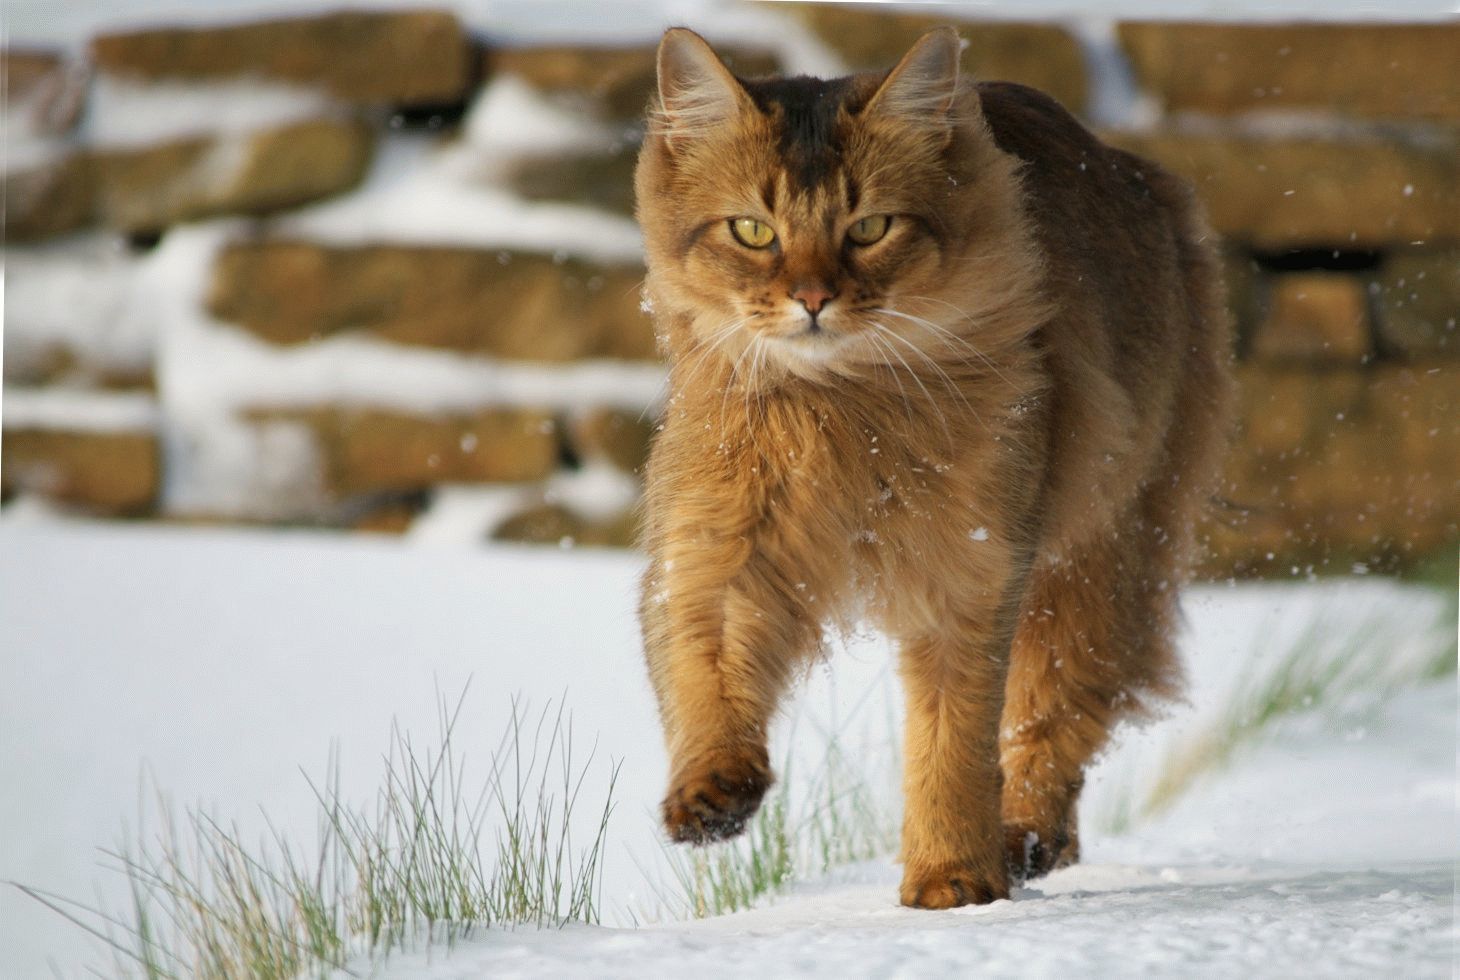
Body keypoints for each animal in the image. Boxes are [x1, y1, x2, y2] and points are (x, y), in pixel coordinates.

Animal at [636, 24, 1232, 911]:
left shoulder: (974, 566)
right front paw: (712, 792)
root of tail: (1139, 170)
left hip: (1100, 553)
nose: (812, 298)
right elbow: (710, 674)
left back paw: (1023, 839)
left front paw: (952, 880)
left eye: (870, 228)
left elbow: (952, 738)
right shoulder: (724, 542)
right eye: (752, 232)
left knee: (1053, 716)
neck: (844, 410)